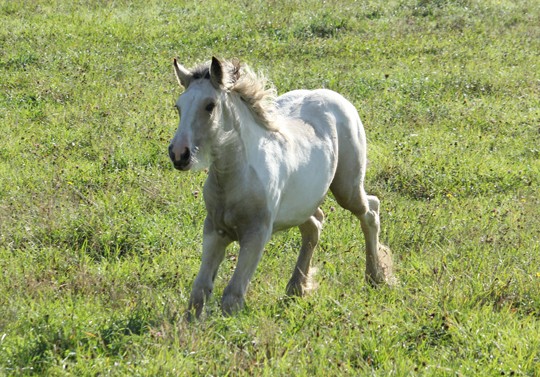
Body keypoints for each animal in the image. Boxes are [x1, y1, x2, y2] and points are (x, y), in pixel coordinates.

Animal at [171, 56, 394, 318]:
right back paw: (296, 288)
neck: (235, 179)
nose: (179, 154)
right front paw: (189, 324)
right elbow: (200, 288)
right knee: (315, 225)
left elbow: (233, 295)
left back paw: (375, 277)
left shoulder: (256, 234)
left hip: (347, 188)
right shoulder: (214, 230)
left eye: (209, 105)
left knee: (370, 210)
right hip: (301, 206)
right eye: (179, 107)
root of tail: (334, 96)